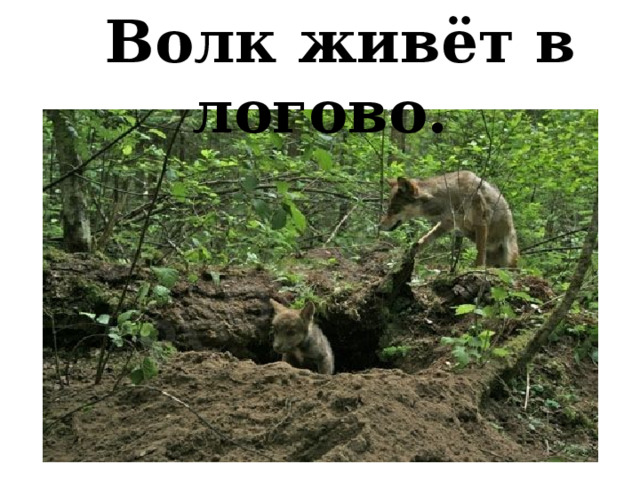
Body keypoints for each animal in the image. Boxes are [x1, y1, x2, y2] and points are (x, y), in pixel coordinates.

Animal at [379, 170, 519, 267]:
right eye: (389, 207)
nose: (379, 226)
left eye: (393, 208)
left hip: (509, 256)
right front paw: (407, 257)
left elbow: (479, 254)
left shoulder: (480, 222)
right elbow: (421, 241)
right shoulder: (446, 224)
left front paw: (476, 270)